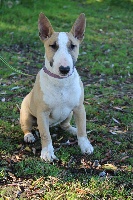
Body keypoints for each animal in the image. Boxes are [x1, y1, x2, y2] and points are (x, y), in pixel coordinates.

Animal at [20, 13, 94, 162]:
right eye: (53, 46)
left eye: (73, 46)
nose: (64, 69)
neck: (61, 82)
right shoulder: (42, 113)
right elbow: (45, 134)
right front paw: (47, 152)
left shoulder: (79, 108)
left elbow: (82, 130)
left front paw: (85, 146)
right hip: (26, 114)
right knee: (27, 127)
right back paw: (29, 136)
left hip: (69, 113)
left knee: (64, 125)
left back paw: (72, 129)